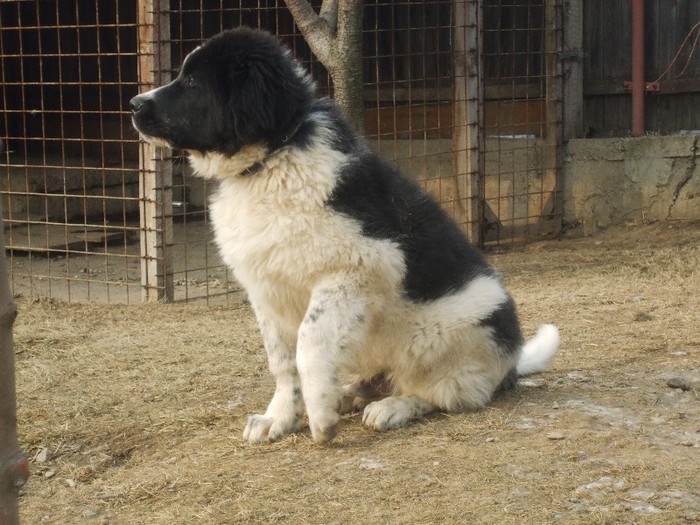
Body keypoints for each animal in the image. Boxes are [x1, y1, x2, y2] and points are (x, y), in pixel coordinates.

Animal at [130, 25, 556, 442]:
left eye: (192, 82)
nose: (133, 103)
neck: (274, 158)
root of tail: (511, 363)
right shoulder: (267, 289)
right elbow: (282, 361)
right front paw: (280, 419)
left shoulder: (356, 269)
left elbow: (309, 341)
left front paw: (319, 416)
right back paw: (350, 392)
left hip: (453, 333)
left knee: (445, 391)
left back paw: (391, 407)